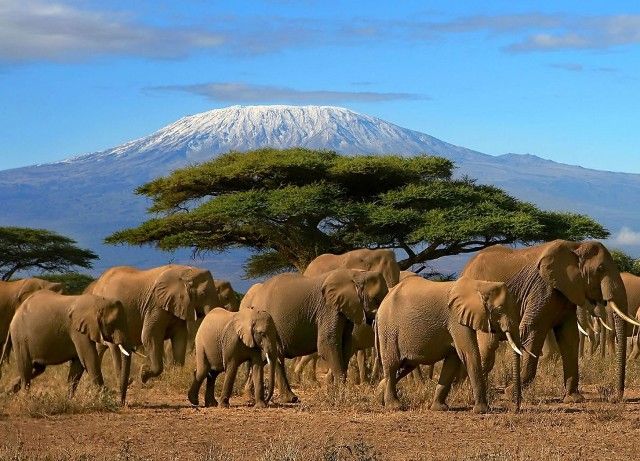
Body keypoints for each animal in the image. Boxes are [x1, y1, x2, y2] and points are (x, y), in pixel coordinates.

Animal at [0, 290, 133, 404]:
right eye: (112, 323)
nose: (121, 403)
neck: (98, 301)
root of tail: (15, 314)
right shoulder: (77, 331)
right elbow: (89, 359)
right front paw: (104, 400)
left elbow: (78, 365)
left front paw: (68, 400)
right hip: (20, 338)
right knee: (26, 367)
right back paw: (25, 399)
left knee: (37, 368)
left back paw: (7, 392)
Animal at [86, 264, 220, 383]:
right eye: (203, 294)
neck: (187, 271)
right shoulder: (155, 305)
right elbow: (149, 336)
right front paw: (143, 374)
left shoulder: (176, 305)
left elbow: (180, 338)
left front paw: (176, 375)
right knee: (113, 347)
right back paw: (125, 381)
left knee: (100, 347)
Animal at [240, 269, 388, 402]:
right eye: (376, 299)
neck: (357, 274)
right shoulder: (328, 309)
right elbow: (327, 344)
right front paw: (342, 396)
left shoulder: (345, 310)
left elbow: (345, 345)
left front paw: (335, 393)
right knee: (274, 356)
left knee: (270, 357)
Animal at [375, 276, 523, 413]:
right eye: (499, 310)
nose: (516, 408)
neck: (480, 285)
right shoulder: (456, 319)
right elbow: (469, 354)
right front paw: (482, 410)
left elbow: (453, 360)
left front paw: (439, 408)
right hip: (389, 330)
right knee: (392, 365)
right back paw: (394, 406)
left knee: (404, 367)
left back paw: (379, 398)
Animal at [461, 240, 639, 404]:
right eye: (600, 269)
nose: (615, 397)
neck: (575, 246)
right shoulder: (542, 289)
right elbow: (532, 330)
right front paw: (510, 393)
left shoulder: (566, 292)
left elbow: (569, 337)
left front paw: (573, 398)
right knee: (488, 345)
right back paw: (473, 395)